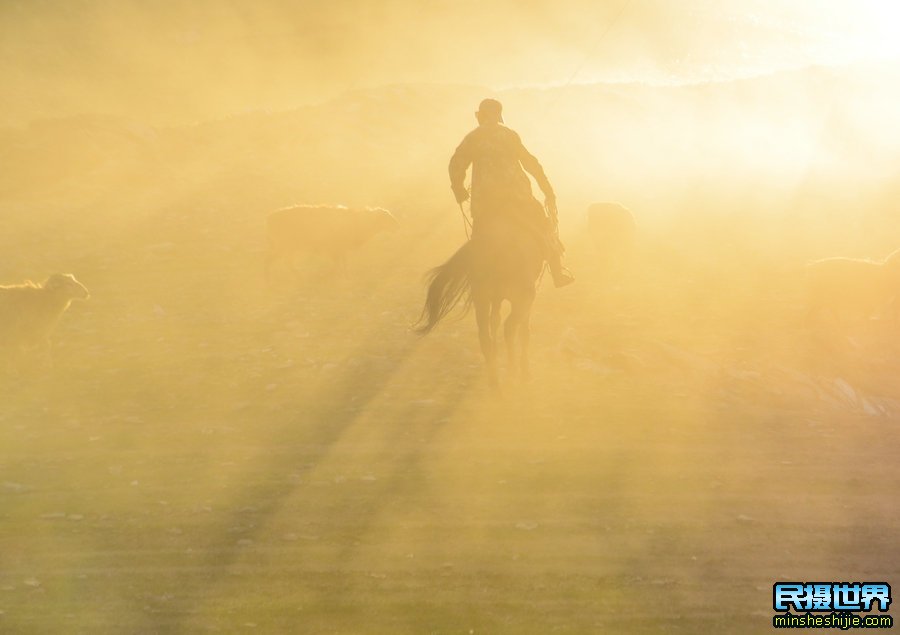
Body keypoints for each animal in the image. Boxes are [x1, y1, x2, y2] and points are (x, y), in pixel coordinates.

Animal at [264, 204, 398, 278]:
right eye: (388, 219)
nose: (397, 226)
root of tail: (270, 218)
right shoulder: (335, 247)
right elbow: (339, 264)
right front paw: (339, 277)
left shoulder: (340, 248)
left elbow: (342, 263)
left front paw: (343, 276)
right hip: (285, 245)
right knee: (274, 260)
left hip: (286, 246)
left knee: (280, 261)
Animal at [416, 211, 548, 388]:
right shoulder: (526, 298)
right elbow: (524, 332)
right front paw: (525, 373)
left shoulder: (496, 298)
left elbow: (495, 322)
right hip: (521, 297)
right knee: (509, 328)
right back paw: (511, 373)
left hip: (482, 298)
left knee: (485, 334)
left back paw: (494, 380)